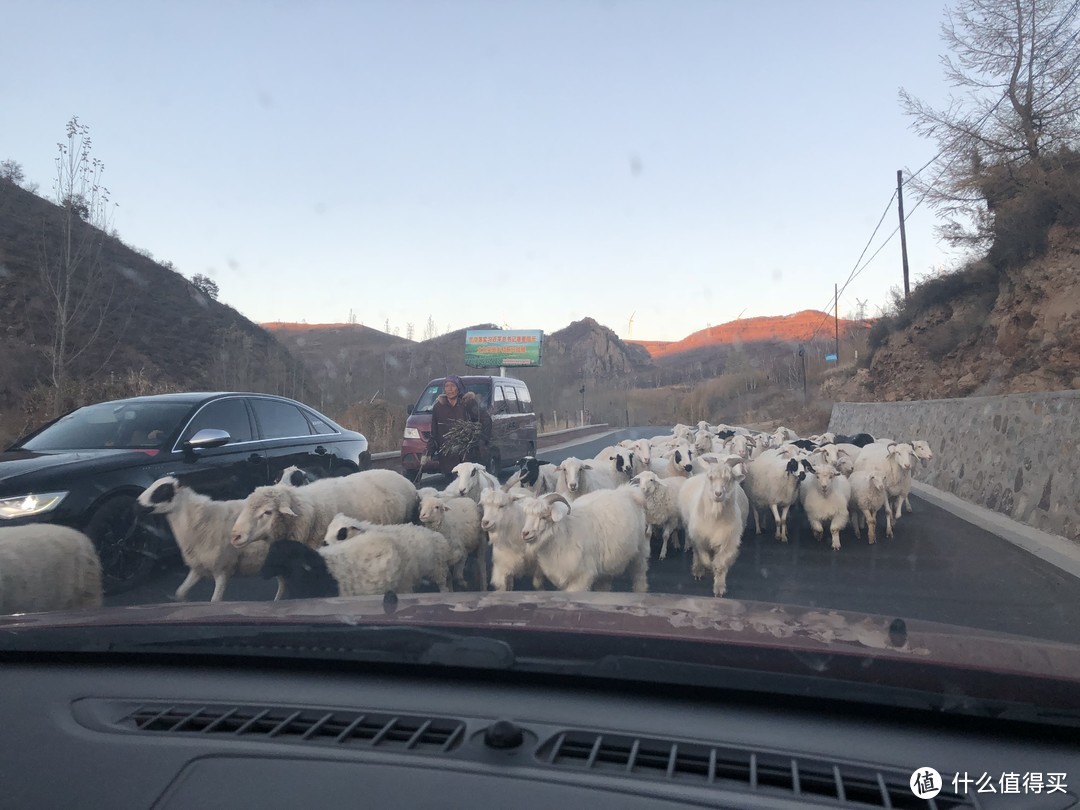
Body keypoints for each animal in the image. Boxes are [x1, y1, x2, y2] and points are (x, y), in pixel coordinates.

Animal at [138, 475, 291, 604]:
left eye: (163, 490)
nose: (136, 504)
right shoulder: (199, 567)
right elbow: (179, 593)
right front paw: (186, 603)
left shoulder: (222, 569)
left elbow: (215, 601)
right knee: (283, 583)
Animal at [678, 460, 747, 600]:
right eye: (710, 477)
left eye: (729, 479)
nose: (718, 494)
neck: (715, 518)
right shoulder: (699, 539)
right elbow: (704, 558)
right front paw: (707, 568)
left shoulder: (728, 542)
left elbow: (720, 565)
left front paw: (719, 588)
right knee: (696, 553)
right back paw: (698, 570)